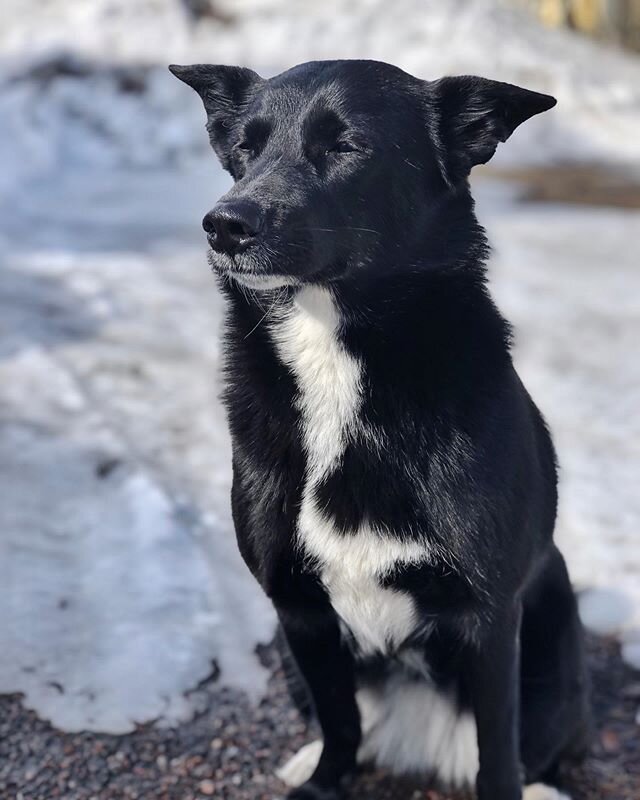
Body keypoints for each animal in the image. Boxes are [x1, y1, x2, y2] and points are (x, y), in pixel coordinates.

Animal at [170, 57, 592, 800]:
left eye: (346, 146)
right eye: (245, 148)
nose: (224, 225)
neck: (334, 347)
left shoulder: (489, 617)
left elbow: (497, 752)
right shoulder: (298, 611)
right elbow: (340, 721)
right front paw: (323, 781)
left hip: (555, 633)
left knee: (532, 750)